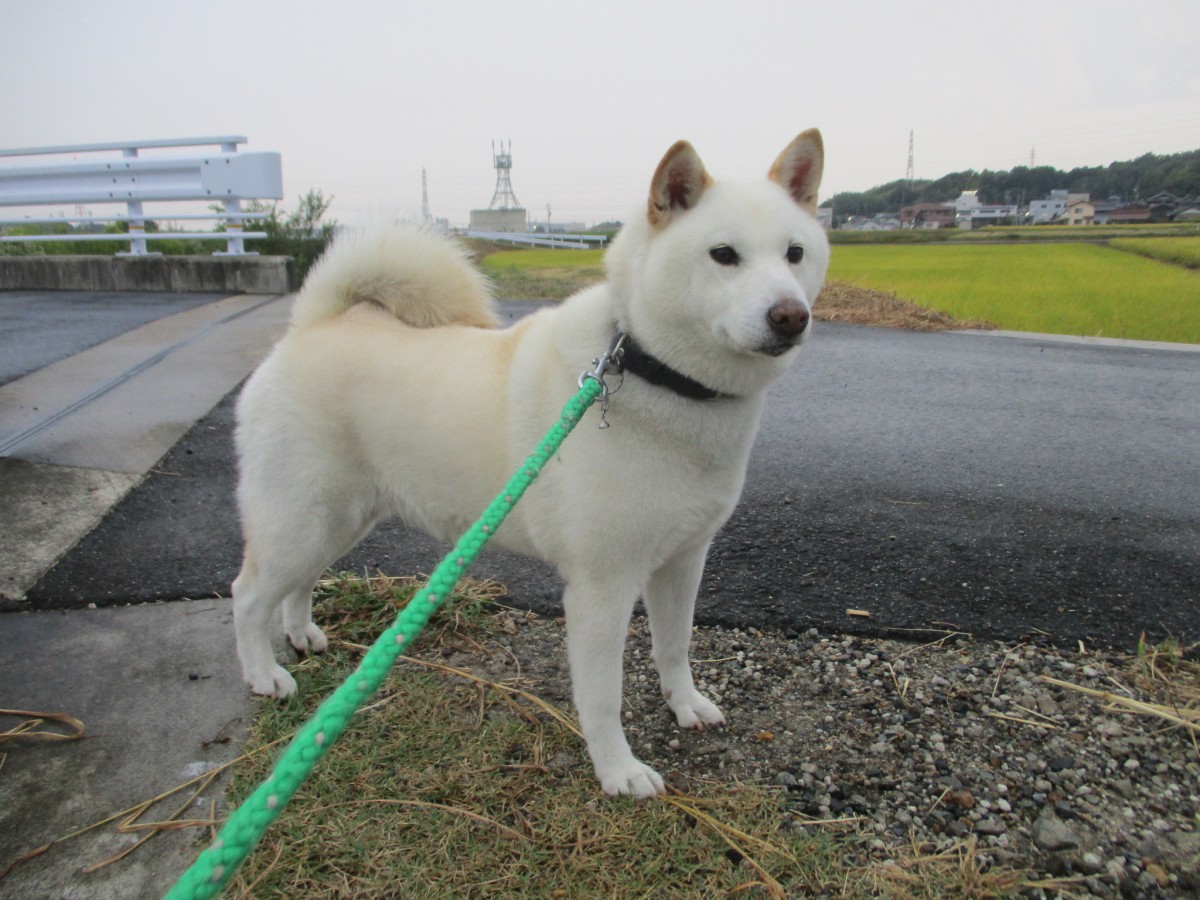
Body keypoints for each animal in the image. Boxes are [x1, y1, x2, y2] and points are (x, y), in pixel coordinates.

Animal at [232, 130, 829, 797]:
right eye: (723, 255)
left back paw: (302, 635)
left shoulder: (683, 559)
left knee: (297, 584)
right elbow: (604, 696)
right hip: (301, 519)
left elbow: (675, 648)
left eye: (795, 253)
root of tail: (313, 324)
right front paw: (618, 771)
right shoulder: (602, 586)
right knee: (246, 596)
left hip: (337, 521)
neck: (655, 374)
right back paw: (264, 675)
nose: (790, 315)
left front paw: (686, 705)